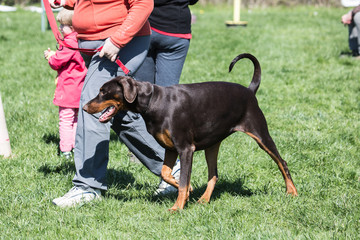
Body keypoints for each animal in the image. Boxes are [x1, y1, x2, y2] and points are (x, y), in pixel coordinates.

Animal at [83, 52, 296, 210]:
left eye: (103, 91)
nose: (84, 107)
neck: (154, 101)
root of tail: (249, 91)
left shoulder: (186, 149)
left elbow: (183, 180)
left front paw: (177, 207)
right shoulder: (170, 148)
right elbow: (166, 174)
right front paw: (188, 193)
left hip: (260, 134)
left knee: (282, 162)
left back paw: (292, 192)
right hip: (212, 145)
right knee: (214, 174)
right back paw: (204, 199)